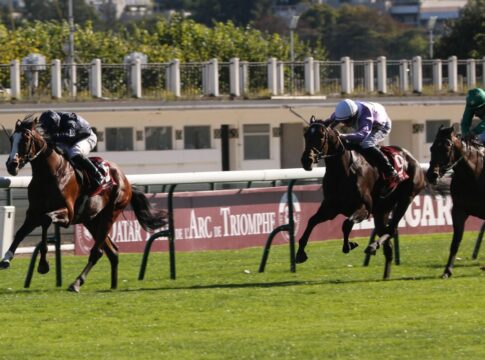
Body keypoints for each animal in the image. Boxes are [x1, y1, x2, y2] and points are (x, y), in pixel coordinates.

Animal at [0, 116, 166, 292]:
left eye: (25, 138)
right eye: (11, 139)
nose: (11, 165)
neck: (49, 175)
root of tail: (125, 180)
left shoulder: (67, 214)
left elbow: (45, 220)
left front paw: (43, 265)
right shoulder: (32, 212)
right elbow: (20, 233)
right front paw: (6, 258)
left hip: (110, 214)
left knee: (97, 251)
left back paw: (76, 283)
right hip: (91, 220)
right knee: (112, 251)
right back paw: (113, 285)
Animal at [294, 119, 424, 280]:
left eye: (321, 135)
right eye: (306, 135)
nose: (307, 160)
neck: (342, 171)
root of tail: (414, 160)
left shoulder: (364, 208)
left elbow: (346, 223)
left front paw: (348, 245)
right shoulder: (330, 208)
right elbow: (312, 221)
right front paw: (300, 253)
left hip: (406, 198)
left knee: (391, 229)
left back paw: (372, 246)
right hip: (382, 211)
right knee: (388, 242)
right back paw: (385, 273)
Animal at [426, 126, 482, 278]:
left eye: (446, 148)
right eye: (432, 148)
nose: (431, 175)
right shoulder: (458, 210)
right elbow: (455, 242)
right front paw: (447, 271)